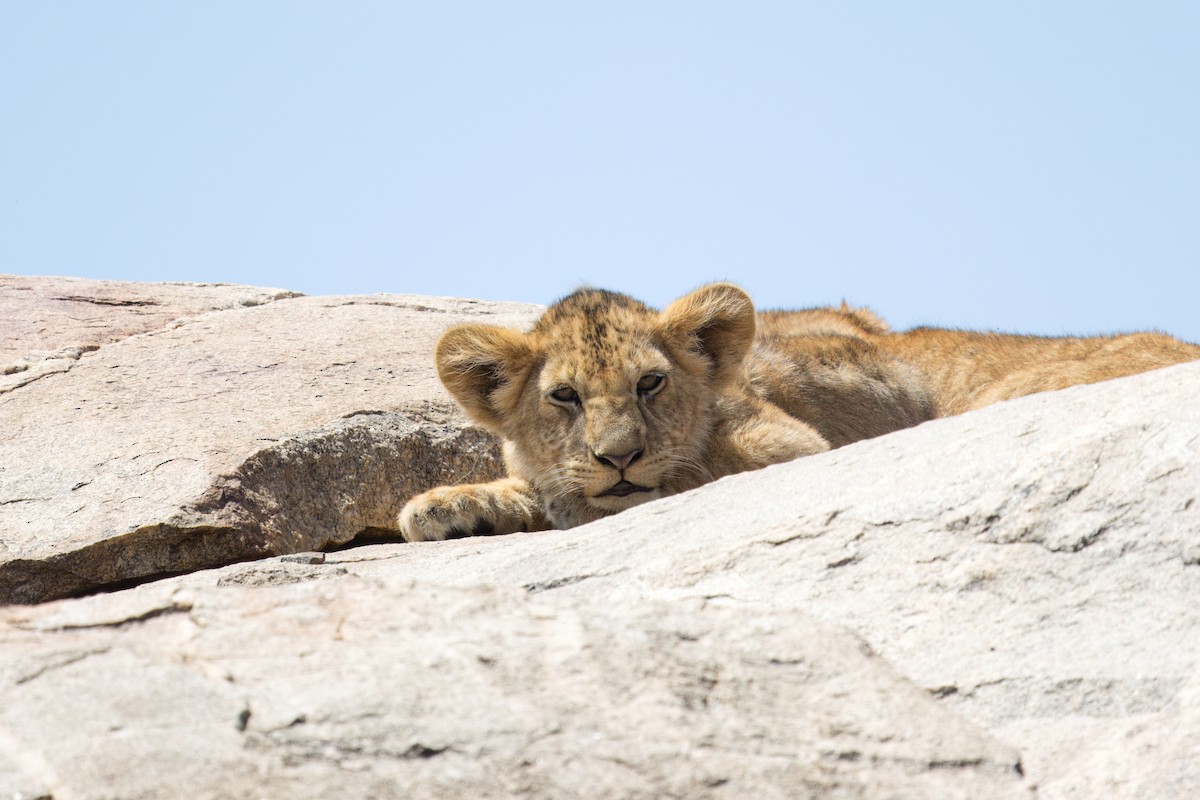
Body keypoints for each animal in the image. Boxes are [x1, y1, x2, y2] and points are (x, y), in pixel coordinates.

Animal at [398, 283, 1199, 541]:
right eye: (563, 396)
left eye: (651, 384)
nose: (619, 457)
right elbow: (522, 482)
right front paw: (446, 505)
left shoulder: (792, 444)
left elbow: (685, 477)